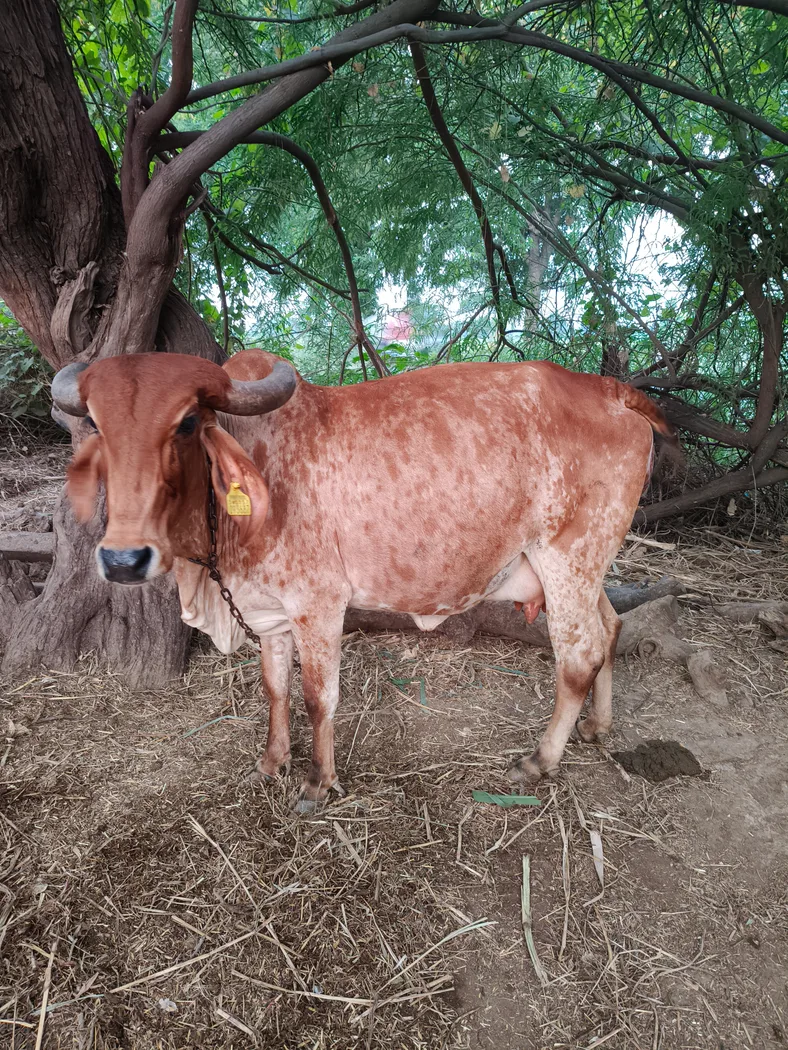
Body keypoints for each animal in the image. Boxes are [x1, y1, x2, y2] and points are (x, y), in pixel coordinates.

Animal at [51, 350, 676, 810]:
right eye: (96, 423)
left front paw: (316, 782)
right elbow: (275, 687)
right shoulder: (269, 611)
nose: (123, 559)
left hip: (567, 559)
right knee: (611, 629)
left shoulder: (319, 604)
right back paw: (597, 728)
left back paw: (541, 760)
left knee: (579, 654)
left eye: (184, 422)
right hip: (587, 567)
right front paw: (272, 761)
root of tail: (607, 388)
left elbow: (316, 696)